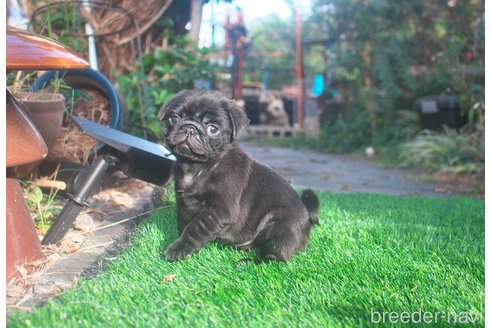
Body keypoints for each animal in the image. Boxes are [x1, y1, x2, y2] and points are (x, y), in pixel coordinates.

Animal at [158, 89, 320, 262]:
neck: (197, 166)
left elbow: (194, 228)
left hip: (278, 225)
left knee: (276, 256)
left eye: (213, 129)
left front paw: (179, 249)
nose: (190, 128)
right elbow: (183, 224)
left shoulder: (219, 210)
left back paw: (248, 262)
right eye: (174, 118)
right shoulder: (183, 204)